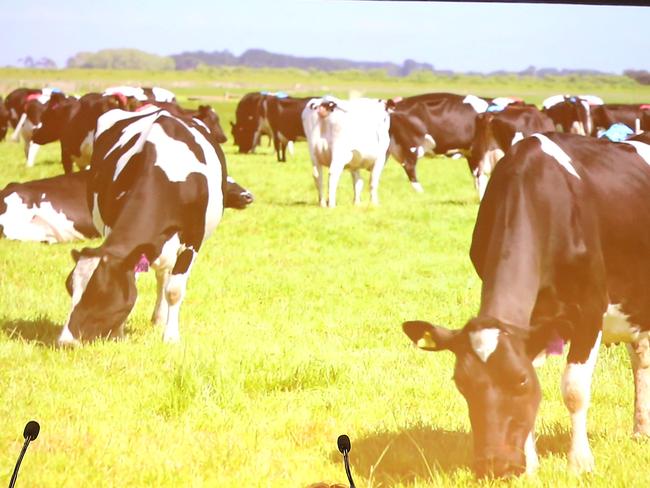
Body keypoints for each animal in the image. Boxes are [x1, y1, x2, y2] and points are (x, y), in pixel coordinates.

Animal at [56, 105, 228, 346]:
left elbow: (174, 290)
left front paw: (171, 337)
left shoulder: (193, 239)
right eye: (70, 287)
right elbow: (134, 283)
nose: (66, 341)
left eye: (100, 293)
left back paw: (160, 319)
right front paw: (117, 333)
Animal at [402, 132, 648, 478]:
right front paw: (530, 465)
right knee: (641, 358)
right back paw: (641, 430)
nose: (493, 465)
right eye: (461, 383)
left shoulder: (589, 310)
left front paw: (580, 463)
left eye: (519, 380)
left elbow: (574, 390)